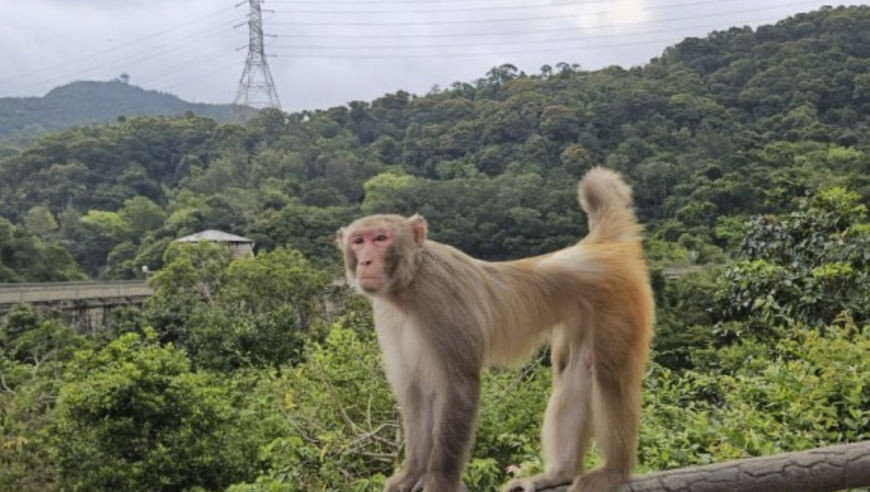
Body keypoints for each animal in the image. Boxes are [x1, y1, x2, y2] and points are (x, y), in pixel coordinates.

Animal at [338, 167, 656, 490]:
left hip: (620, 303)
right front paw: (411, 474)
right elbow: (415, 391)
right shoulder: (388, 316)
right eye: (358, 241)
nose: (366, 261)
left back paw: (614, 470)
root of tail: (598, 246)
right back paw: (559, 474)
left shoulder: (440, 300)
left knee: (610, 377)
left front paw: (439, 480)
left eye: (380, 238)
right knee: (576, 369)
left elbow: (459, 387)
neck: (411, 280)